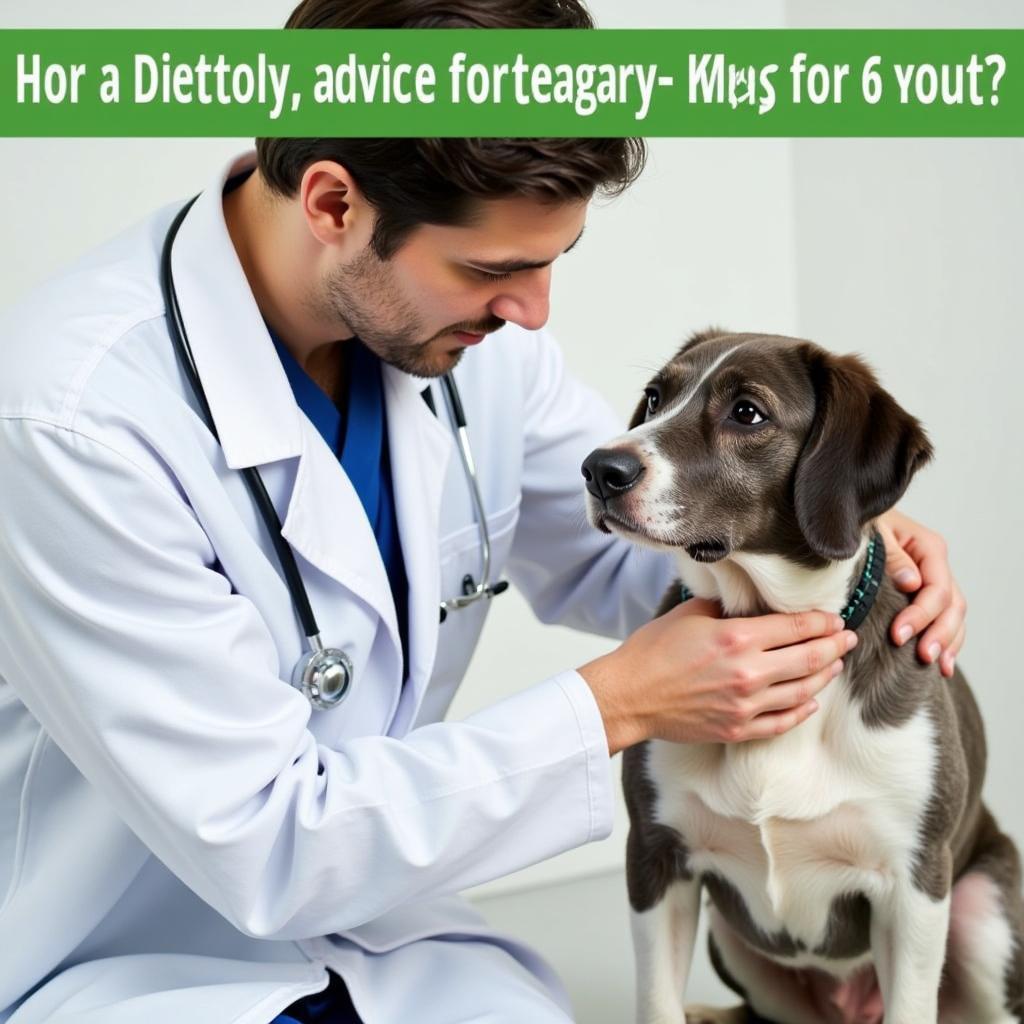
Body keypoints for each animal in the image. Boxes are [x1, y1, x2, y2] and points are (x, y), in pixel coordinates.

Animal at [581, 331, 1019, 1019]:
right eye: (655, 396)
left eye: (747, 413)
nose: (600, 468)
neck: (767, 618)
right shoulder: (656, 858)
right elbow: (656, 1001)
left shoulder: (916, 882)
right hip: (732, 940)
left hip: (981, 915)